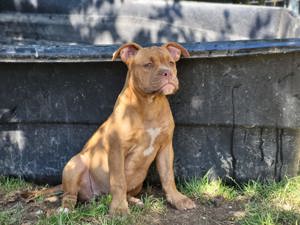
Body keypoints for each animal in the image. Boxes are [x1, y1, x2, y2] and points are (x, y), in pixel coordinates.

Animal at [61, 41, 197, 214]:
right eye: (148, 65)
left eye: (171, 63)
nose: (167, 73)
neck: (150, 103)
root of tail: (99, 196)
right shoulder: (116, 150)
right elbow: (119, 181)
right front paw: (119, 208)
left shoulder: (166, 147)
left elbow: (168, 176)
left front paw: (177, 199)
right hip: (75, 164)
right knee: (69, 195)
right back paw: (66, 209)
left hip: (138, 181)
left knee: (128, 191)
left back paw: (133, 201)